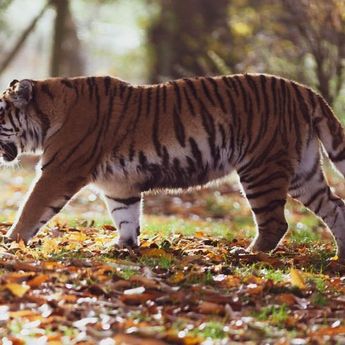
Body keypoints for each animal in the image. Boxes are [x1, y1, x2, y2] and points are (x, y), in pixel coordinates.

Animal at [0, 74, 344, 258]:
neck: (46, 115)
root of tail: (305, 90)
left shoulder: (59, 171)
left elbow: (31, 208)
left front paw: (11, 243)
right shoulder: (119, 185)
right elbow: (126, 216)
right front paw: (123, 247)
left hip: (262, 169)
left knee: (275, 222)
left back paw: (247, 255)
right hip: (303, 173)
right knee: (335, 206)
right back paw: (339, 257)